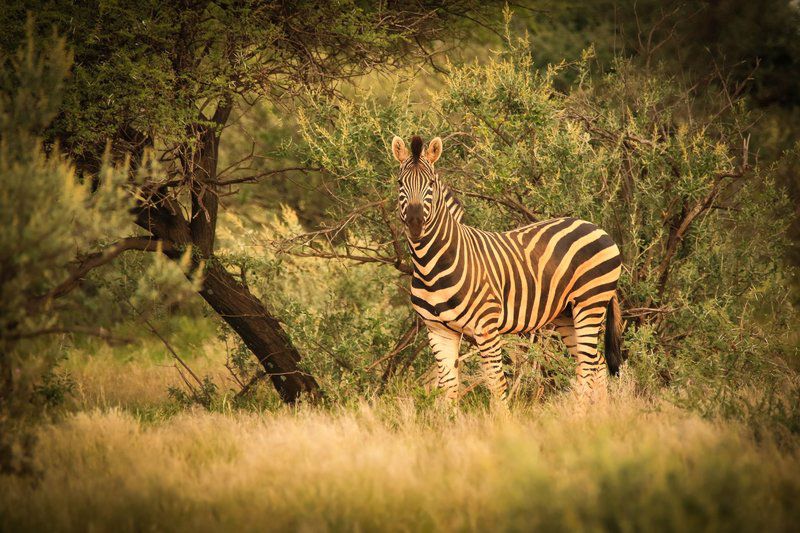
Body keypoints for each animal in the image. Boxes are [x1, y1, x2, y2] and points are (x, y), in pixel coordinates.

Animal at [392, 133, 624, 404]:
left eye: (430, 184)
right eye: (400, 183)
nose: (415, 224)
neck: (432, 265)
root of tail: (596, 227)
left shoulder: (486, 327)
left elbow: (496, 384)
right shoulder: (438, 331)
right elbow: (448, 388)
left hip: (590, 302)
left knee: (587, 368)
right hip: (566, 313)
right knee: (597, 364)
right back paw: (600, 413)